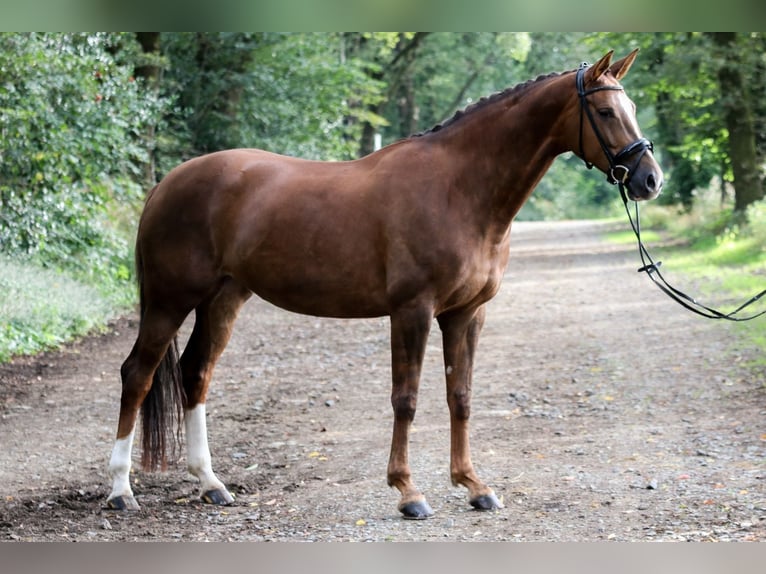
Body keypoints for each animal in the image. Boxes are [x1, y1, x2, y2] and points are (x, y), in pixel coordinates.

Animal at [108, 49, 664, 520]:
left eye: (632, 106)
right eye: (607, 112)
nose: (650, 180)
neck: (459, 189)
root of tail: (168, 182)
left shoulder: (467, 314)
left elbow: (460, 396)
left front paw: (474, 486)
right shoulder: (412, 310)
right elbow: (407, 399)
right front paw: (408, 492)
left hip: (223, 299)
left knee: (195, 374)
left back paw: (211, 484)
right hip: (169, 301)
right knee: (138, 375)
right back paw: (121, 491)